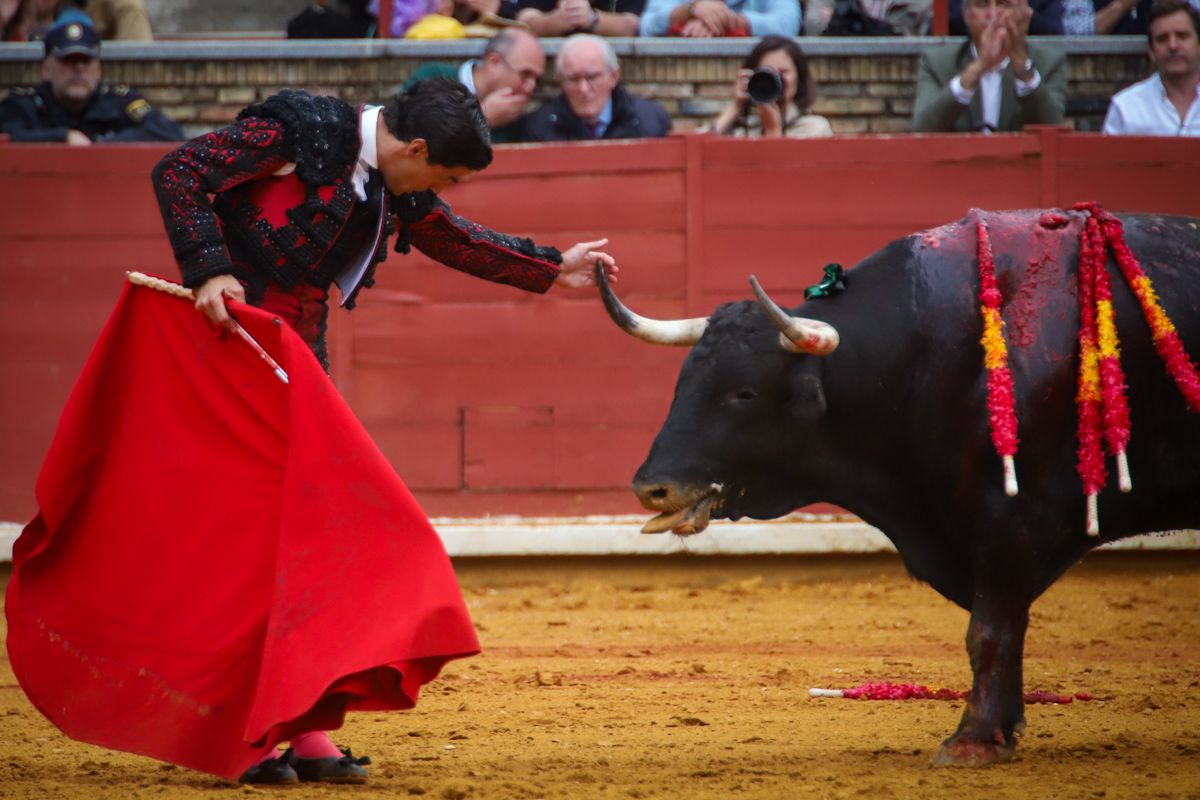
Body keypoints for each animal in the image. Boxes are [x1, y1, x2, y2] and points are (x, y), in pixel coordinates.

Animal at [600, 209, 1200, 767]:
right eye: (683, 383)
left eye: (743, 393)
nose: (651, 489)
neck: (921, 355)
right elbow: (1009, 627)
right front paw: (1004, 731)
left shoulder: (1012, 515)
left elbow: (989, 630)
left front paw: (971, 742)